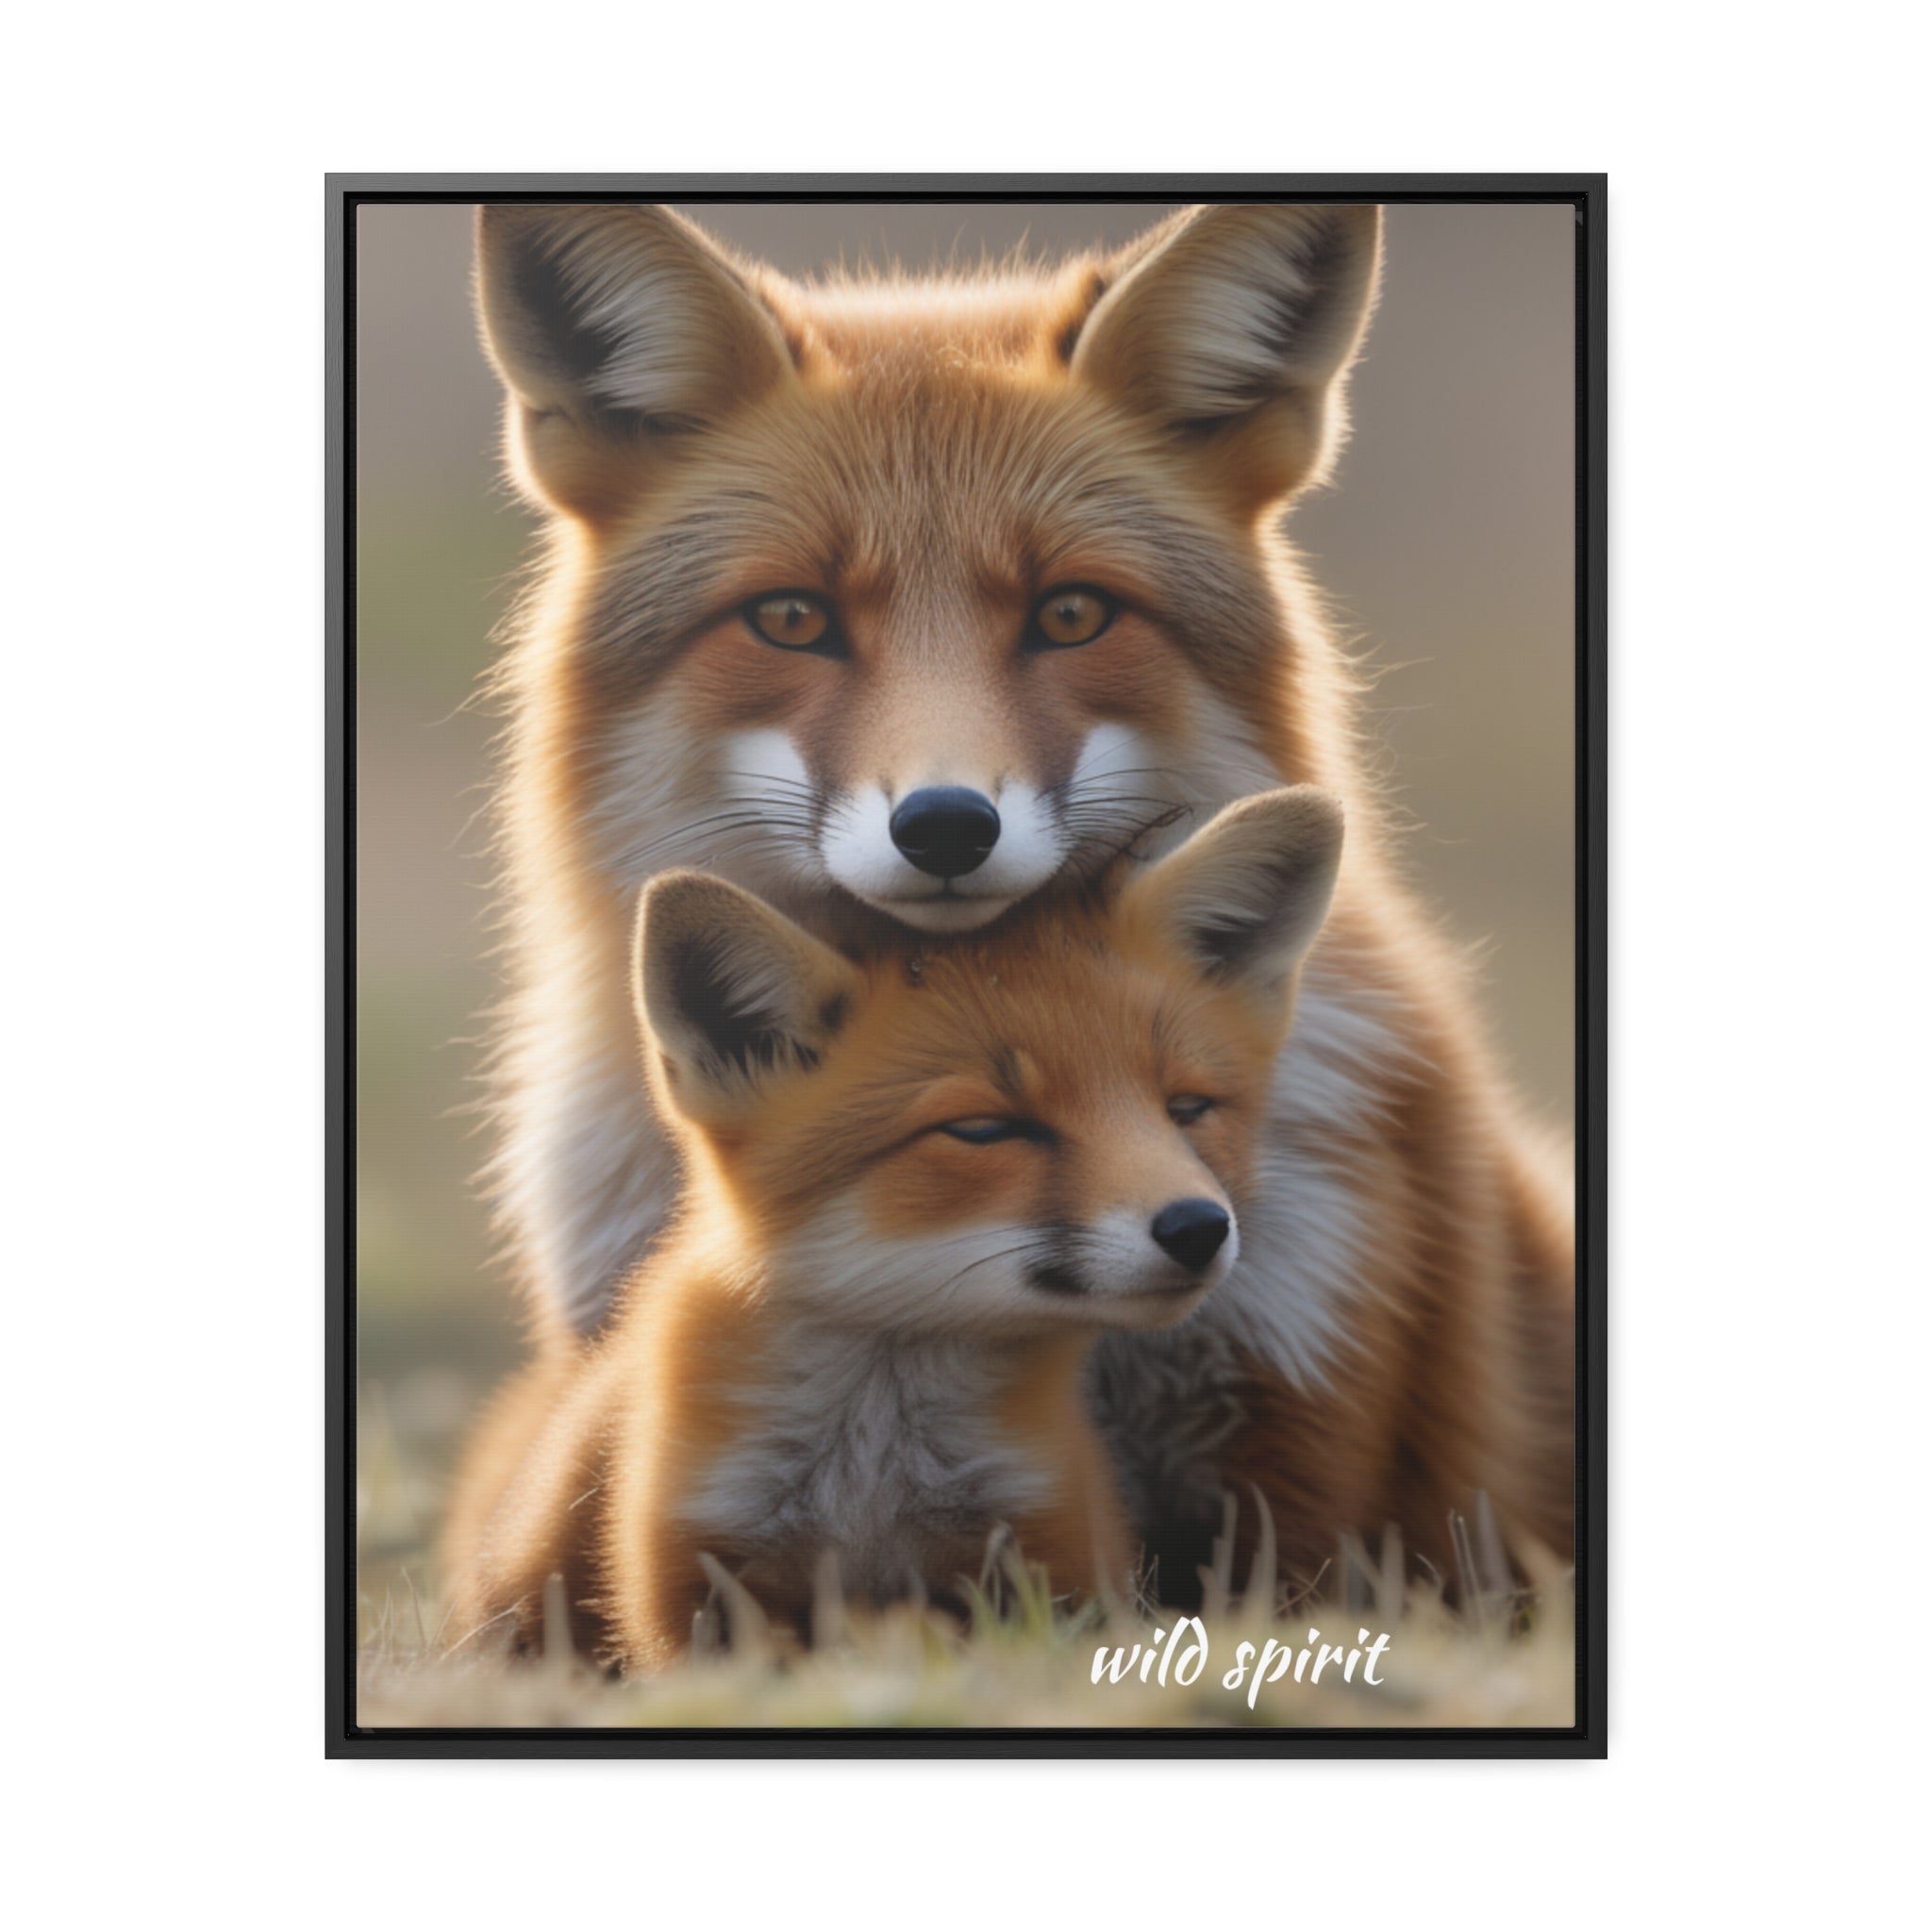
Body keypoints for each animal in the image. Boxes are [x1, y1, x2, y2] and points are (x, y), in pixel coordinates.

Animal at [443, 789, 1345, 1666]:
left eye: (1187, 1109)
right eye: (985, 1129)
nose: (1198, 1227)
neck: (872, 1473)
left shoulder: (1050, 1556)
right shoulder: (695, 1580)